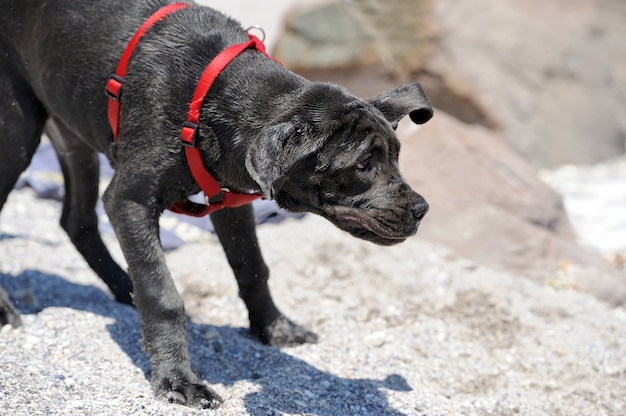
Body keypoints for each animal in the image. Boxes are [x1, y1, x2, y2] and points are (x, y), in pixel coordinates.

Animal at [0, 0, 428, 410]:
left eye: (396, 155)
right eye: (363, 164)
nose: (422, 210)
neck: (209, 100)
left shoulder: (229, 197)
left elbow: (252, 268)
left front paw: (273, 329)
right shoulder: (129, 201)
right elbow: (162, 293)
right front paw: (177, 380)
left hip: (71, 132)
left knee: (77, 221)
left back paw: (123, 287)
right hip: (17, 133)